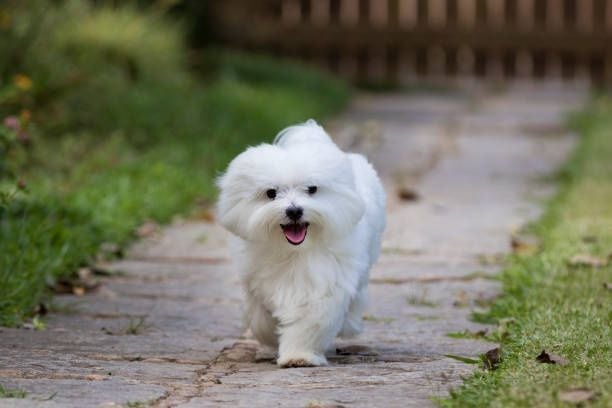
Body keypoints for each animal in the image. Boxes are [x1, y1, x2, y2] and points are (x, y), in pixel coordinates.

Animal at [218, 119, 384, 368]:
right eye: (271, 193)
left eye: (312, 189)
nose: (294, 210)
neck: (292, 251)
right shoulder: (255, 282)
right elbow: (261, 318)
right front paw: (271, 338)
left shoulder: (323, 284)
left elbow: (309, 322)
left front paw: (299, 355)